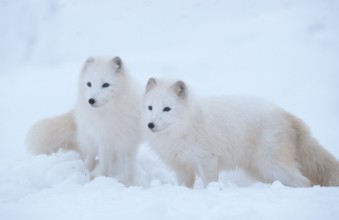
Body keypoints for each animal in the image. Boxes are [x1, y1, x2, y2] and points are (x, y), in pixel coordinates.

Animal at [25, 56, 141, 186]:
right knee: (91, 153)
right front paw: (103, 179)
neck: (111, 112)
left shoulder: (129, 142)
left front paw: (128, 184)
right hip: (90, 136)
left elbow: (129, 168)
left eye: (105, 85)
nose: (91, 100)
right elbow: (105, 165)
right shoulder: (104, 142)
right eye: (89, 84)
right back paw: (85, 169)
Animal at [142, 77, 339, 187]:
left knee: (306, 182)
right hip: (261, 170)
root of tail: (283, 112)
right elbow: (185, 185)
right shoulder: (180, 166)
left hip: (272, 165)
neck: (185, 126)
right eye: (150, 107)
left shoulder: (207, 161)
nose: (150, 125)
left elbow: (209, 183)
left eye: (167, 109)